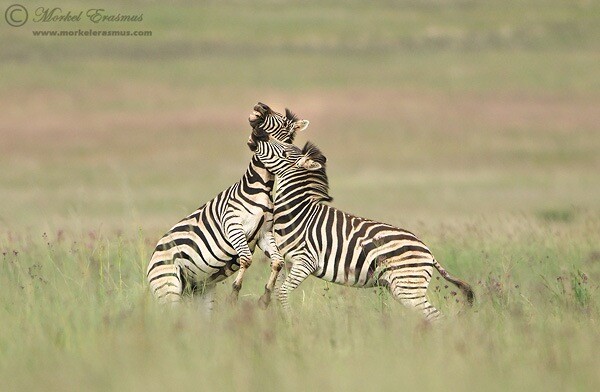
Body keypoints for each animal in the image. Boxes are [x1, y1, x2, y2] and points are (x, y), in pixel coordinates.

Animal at [146, 103, 310, 310]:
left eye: (279, 118)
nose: (260, 106)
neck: (262, 186)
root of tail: (154, 254)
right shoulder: (232, 225)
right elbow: (246, 259)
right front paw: (234, 294)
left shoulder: (264, 233)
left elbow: (278, 262)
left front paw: (265, 297)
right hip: (168, 287)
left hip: (200, 290)